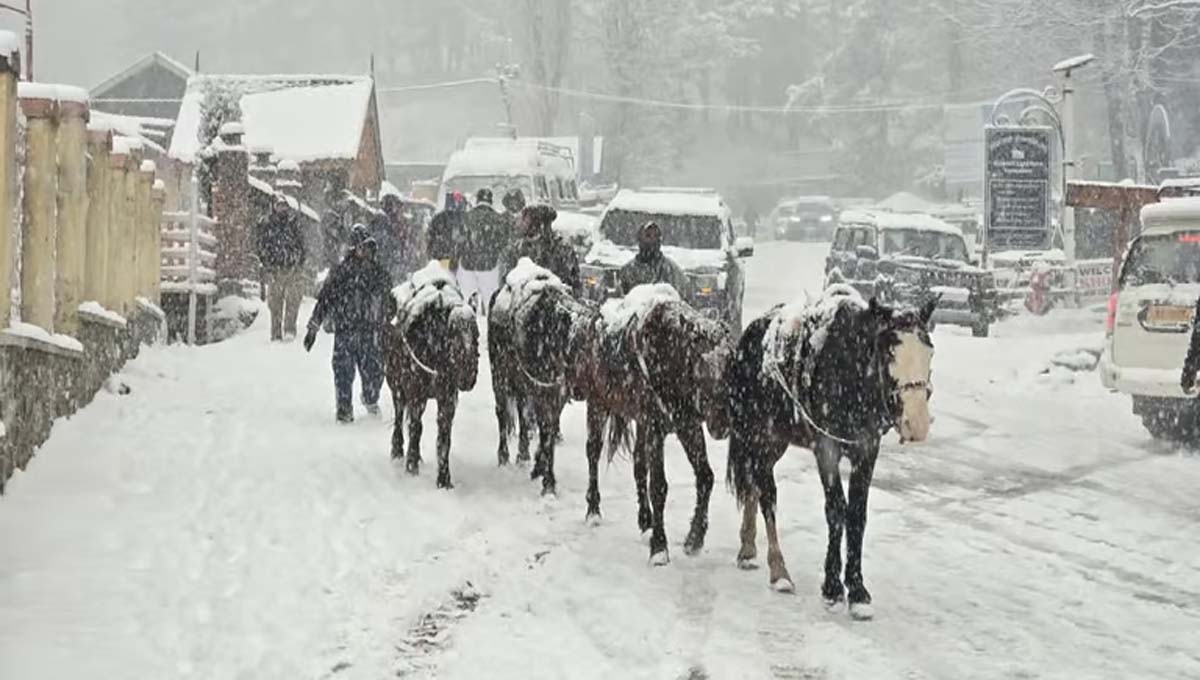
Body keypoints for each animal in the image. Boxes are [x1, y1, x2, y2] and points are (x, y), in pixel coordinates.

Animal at [384, 260, 477, 489]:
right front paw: (411, 466)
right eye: (453, 333)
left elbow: (444, 436)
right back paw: (398, 450)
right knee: (400, 415)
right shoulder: (415, 392)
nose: (468, 376)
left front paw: (444, 478)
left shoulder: (448, 397)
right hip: (396, 384)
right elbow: (415, 427)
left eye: (476, 333)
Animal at [720, 284, 936, 618]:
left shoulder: (866, 448)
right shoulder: (826, 447)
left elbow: (857, 513)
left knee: (755, 483)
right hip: (758, 434)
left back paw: (747, 548)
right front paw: (833, 587)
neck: (850, 371)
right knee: (767, 493)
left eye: (929, 351)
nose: (917, 424)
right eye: (889, 351)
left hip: (774, 442)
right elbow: (836, 509)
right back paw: (778, 570)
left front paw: (858, 591)